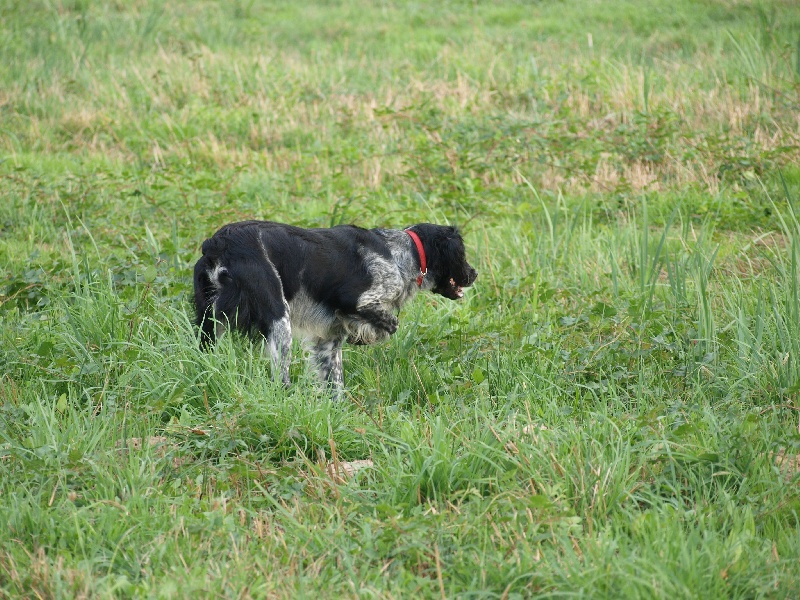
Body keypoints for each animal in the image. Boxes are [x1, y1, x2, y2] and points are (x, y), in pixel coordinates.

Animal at [195, 220, 478, 398]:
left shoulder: (327, 339)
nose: (474, 273)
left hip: (209, 323)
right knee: (280, 378)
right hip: (279, 319)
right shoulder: (355, 300)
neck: (401, 255)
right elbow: (390, 323)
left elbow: (335, 381)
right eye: (462, 254)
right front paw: (364, 336)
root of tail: (217, 243)